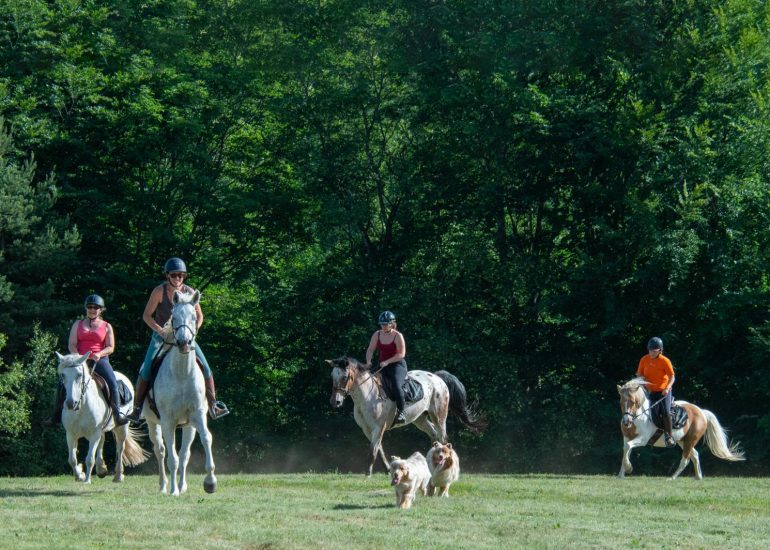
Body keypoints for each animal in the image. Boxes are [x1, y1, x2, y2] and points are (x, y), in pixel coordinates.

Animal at [55, 352, 150, 486]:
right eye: (63, 375)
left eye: (79, 375)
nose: (70, 403)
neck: (81, 407)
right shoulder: (70, 434)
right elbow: (72, 459)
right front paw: (80, 476)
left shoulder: (94, 433)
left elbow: (89, 458)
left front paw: (87, 480)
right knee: (102, 441)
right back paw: (101, 469)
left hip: (122, 427)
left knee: (120, 448)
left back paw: (118, 476)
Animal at [140, 292, 216, 498]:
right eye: (173, 318)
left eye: (194, 317)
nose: (183, 343)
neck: (182, 373)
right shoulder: (168, 421)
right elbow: (171, 458)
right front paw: (173, 491)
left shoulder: (198, 415)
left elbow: (206, 438)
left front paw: (210, 482)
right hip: (152, 423)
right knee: (160, 451)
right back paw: (164, 486)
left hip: (188, 426)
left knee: (184, 454)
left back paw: (182, 486)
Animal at [326, 358, 484, 478]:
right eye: (332, 377)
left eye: (344, 377)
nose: (335, 402)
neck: (367, 395)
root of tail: (437, 377)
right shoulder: (367, 429)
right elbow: (379, 449)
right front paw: (387, 469)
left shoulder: (378, 427)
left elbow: (373, 451)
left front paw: (368, 473)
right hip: (420, 419)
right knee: (434, 435)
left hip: (439, 417)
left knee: (443, 438)